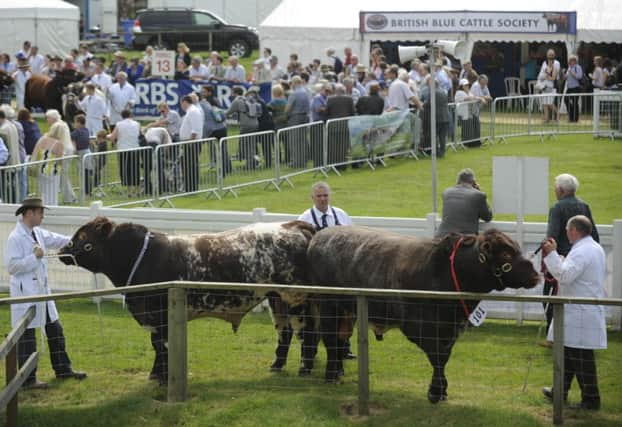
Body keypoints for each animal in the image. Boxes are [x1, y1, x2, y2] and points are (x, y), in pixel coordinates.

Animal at [308, 227, 540, 404]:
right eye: (506, 254)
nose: (535, 275)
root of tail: (322, 234)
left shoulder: (450, 330)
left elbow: (443, 357)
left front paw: (441, 390)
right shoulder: (420, 327)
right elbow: (437, 356)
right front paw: (436, 391)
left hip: (347, 311)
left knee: (340, 339)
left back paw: (338, 371)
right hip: (327, 304)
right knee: (330, 339)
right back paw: (331, 376)